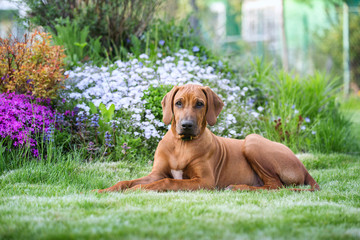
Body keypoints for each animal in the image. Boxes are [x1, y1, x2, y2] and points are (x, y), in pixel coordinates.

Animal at [96, 84, 320, 191]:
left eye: (199, 104)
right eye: (178, 103)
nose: (186, 125)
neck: (182, 145)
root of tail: (303, 166)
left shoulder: (204, 181)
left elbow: (168, 182)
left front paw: (140, 190)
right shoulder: (156, 173)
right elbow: (126, 181)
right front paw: (105, 190)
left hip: (251, 141)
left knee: (276, 186)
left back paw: (238, 187)